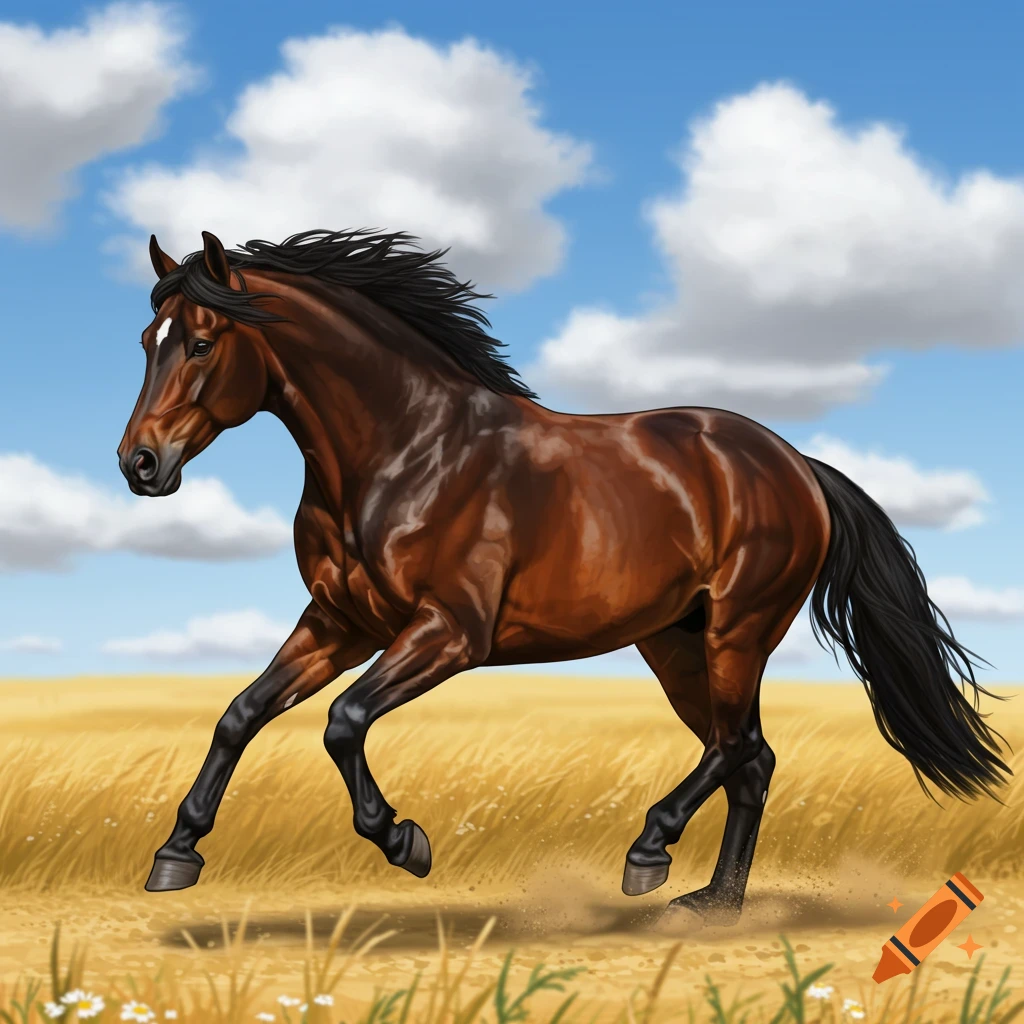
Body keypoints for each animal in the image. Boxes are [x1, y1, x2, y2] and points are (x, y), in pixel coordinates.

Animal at [117, 228, 1011, 921]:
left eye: (201, 342)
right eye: (146, 341)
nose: (139, 464)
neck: (406, 451)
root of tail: (794, 464)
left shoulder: (450, 634)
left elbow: (344, 721)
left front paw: (406, 841)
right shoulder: (339, 624)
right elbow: (239, 715)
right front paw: (176, 854)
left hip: (737, 630)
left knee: (736, 748)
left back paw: (650, 853)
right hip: (676, 644)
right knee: (750, 760)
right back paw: (714, 902)